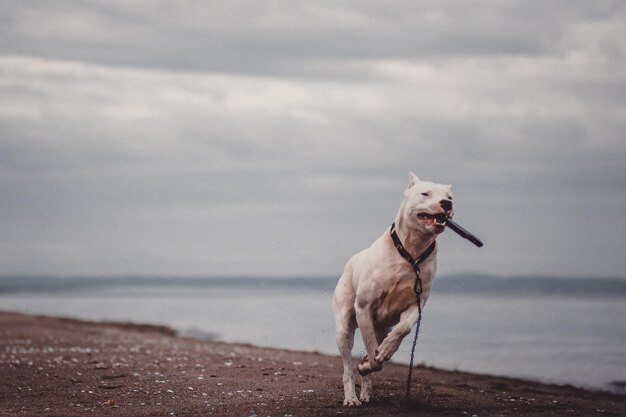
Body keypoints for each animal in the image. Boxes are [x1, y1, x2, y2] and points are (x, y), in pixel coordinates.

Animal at [332, 172, 454, 404]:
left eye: (449, 196)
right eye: (425, 193)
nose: (447, 203)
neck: (411, 252)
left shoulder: (416, 304)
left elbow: (403, 329)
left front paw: (384, 352)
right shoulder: (364, 307)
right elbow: (372, 350)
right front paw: (371, 361)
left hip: (381, 326)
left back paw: (366, 390)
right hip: (344, 326)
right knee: (347, 366)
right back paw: (352, 396)